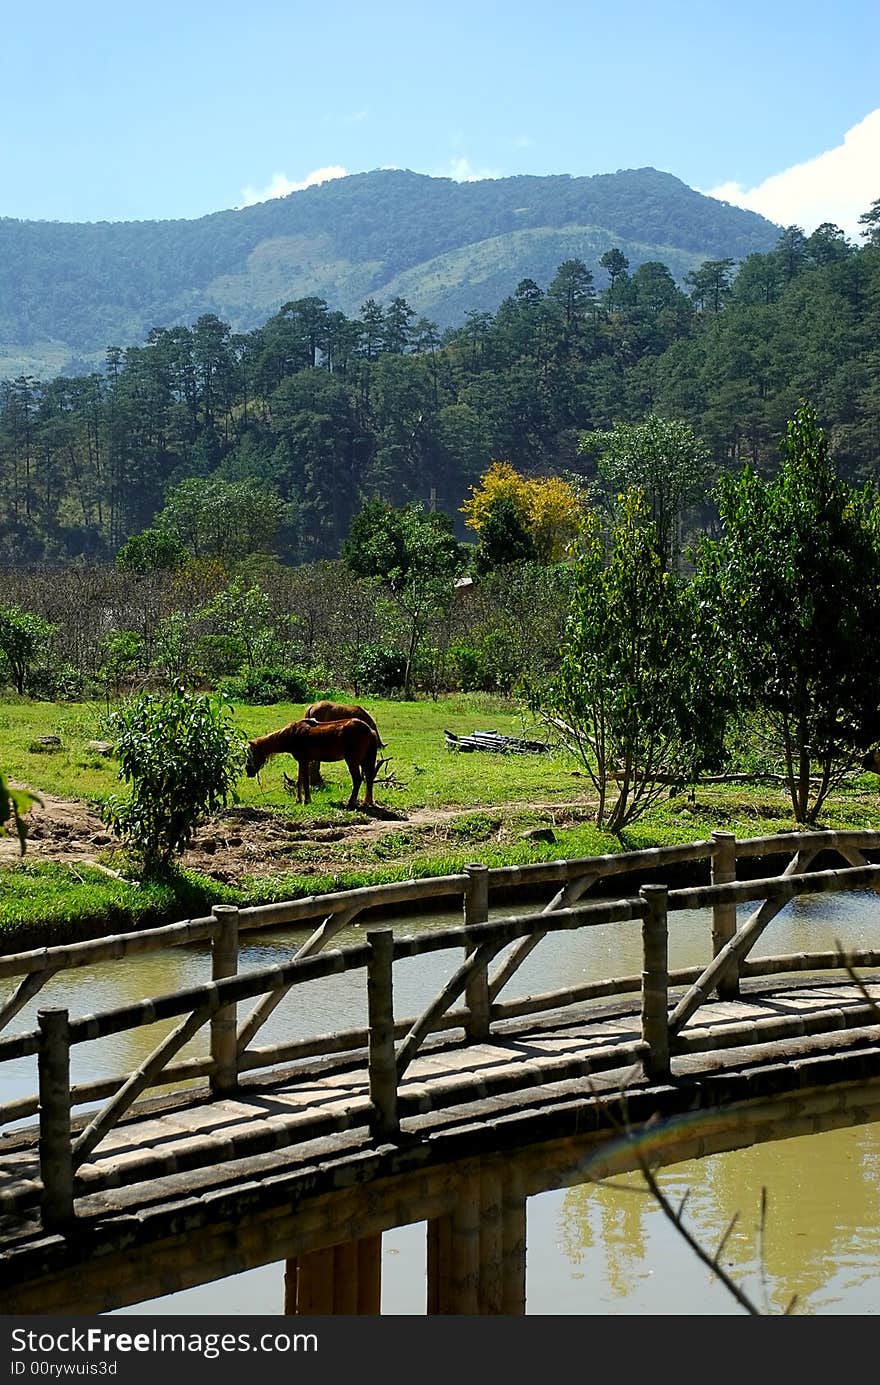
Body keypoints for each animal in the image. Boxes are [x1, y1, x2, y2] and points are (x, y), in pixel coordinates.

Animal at [243, 720, 379, 808]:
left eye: (251, 754)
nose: (248, 771)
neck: (291, 735)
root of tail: (370, 731)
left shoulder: (304, 760)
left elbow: (305, 781)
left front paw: (306, 800)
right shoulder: (302, 761)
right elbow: (300, 781)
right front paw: (299, 800)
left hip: (352, 761)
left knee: (358, 779)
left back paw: (351, 802)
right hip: (365, 760)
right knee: (369, 779)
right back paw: (367, 802)